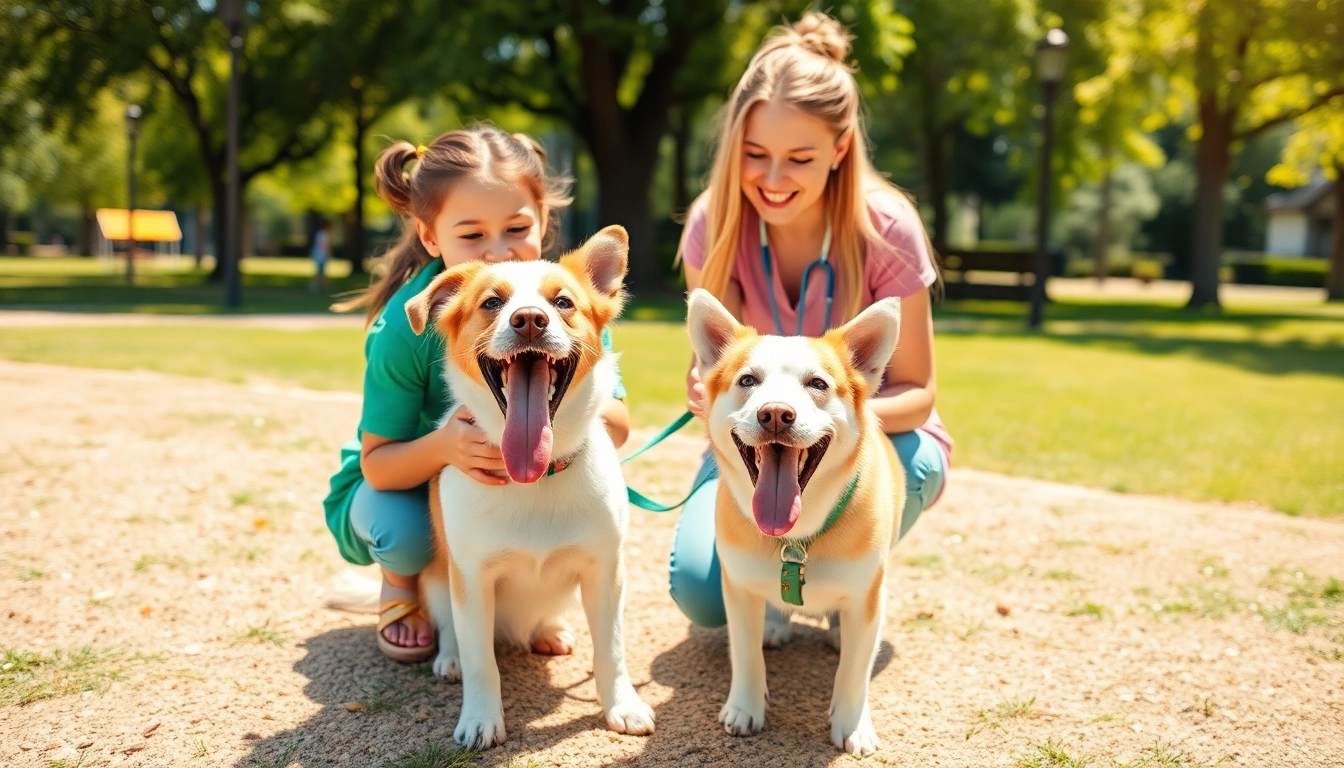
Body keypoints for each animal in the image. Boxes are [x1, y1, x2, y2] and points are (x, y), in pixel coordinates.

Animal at [688, 287, 908, 758]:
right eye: (747, 381)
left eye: (818, 384)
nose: (775, 413)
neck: (798, 535)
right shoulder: (738, 588)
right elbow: (746, 654)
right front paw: (745, 708)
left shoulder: (867, 595)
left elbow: (853, 671)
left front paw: (852, 725)